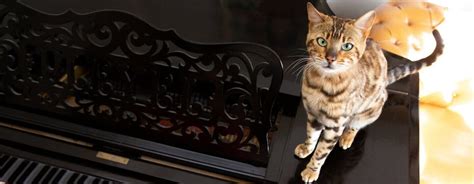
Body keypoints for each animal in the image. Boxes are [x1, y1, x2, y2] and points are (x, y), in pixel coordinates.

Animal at [294, 2, 442, 183]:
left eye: (347, 46)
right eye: (321, 41)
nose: (330, 58)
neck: (322, 86)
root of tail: (385, 81)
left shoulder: (335, 125)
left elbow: (322, 152)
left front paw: (311, 170)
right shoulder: (313, 115)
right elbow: (311, 136)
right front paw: (306, 148)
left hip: (368, 111)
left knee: (356, 125)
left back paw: (347, 137)